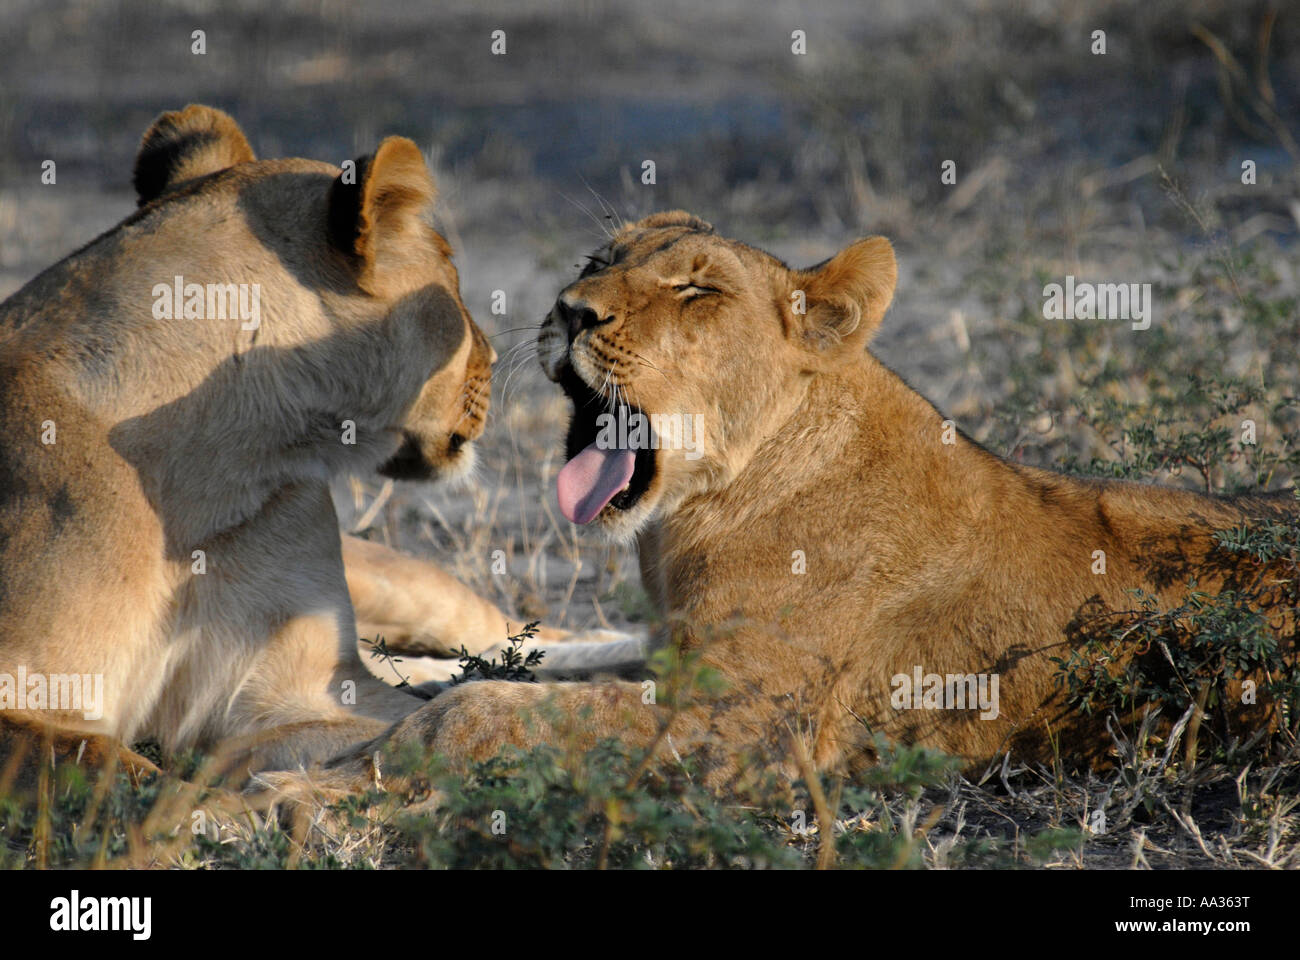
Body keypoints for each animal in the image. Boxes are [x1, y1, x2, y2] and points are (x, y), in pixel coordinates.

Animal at [0, 104, 629, 794]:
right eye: (451, 270)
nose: (491, 358)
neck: (216, 471)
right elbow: (99, 761)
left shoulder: (299, 688)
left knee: (506, 634)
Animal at [350, 211, 1297, 787]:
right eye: (597, 263)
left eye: (695, 290)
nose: (569, 309)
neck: (698, 511)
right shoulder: (673, 651)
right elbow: (535, 664)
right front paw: (402, 682)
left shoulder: (748, 719)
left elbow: (505, 711)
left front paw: (396, 743)